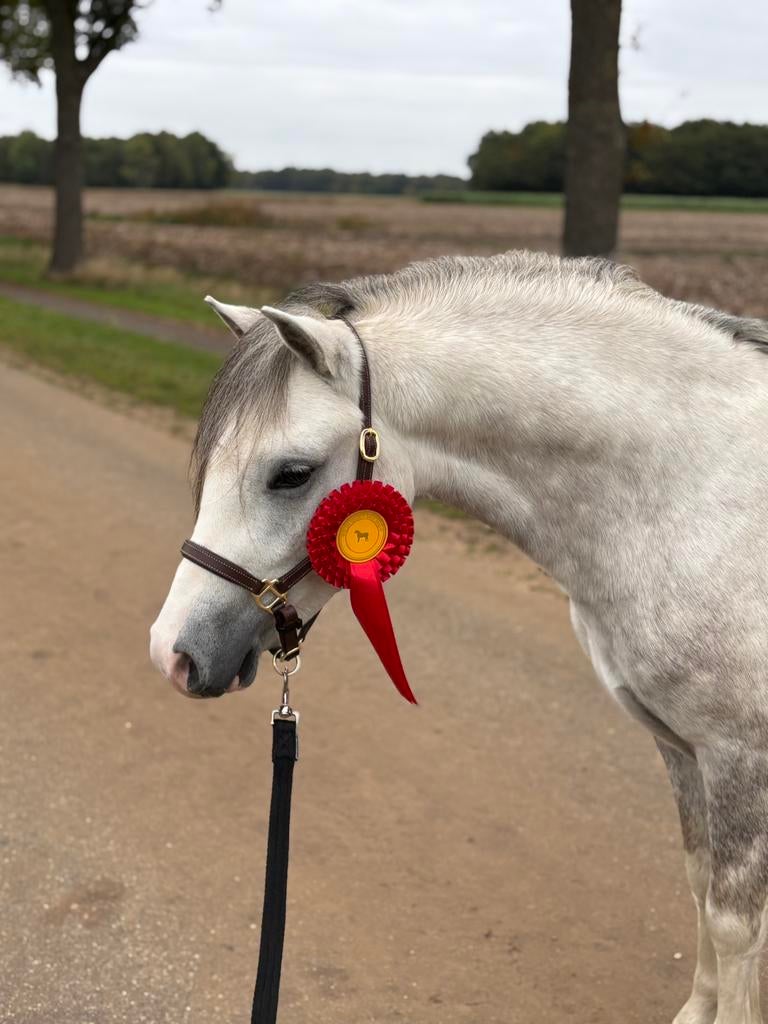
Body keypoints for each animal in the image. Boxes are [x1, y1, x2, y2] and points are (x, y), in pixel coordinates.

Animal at [150, 250, 768, 1024]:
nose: (173, 652)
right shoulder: (681, 746)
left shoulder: (738, 755)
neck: (690, 493)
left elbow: (734, 923)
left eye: (291, 474)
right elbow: (697, 878)